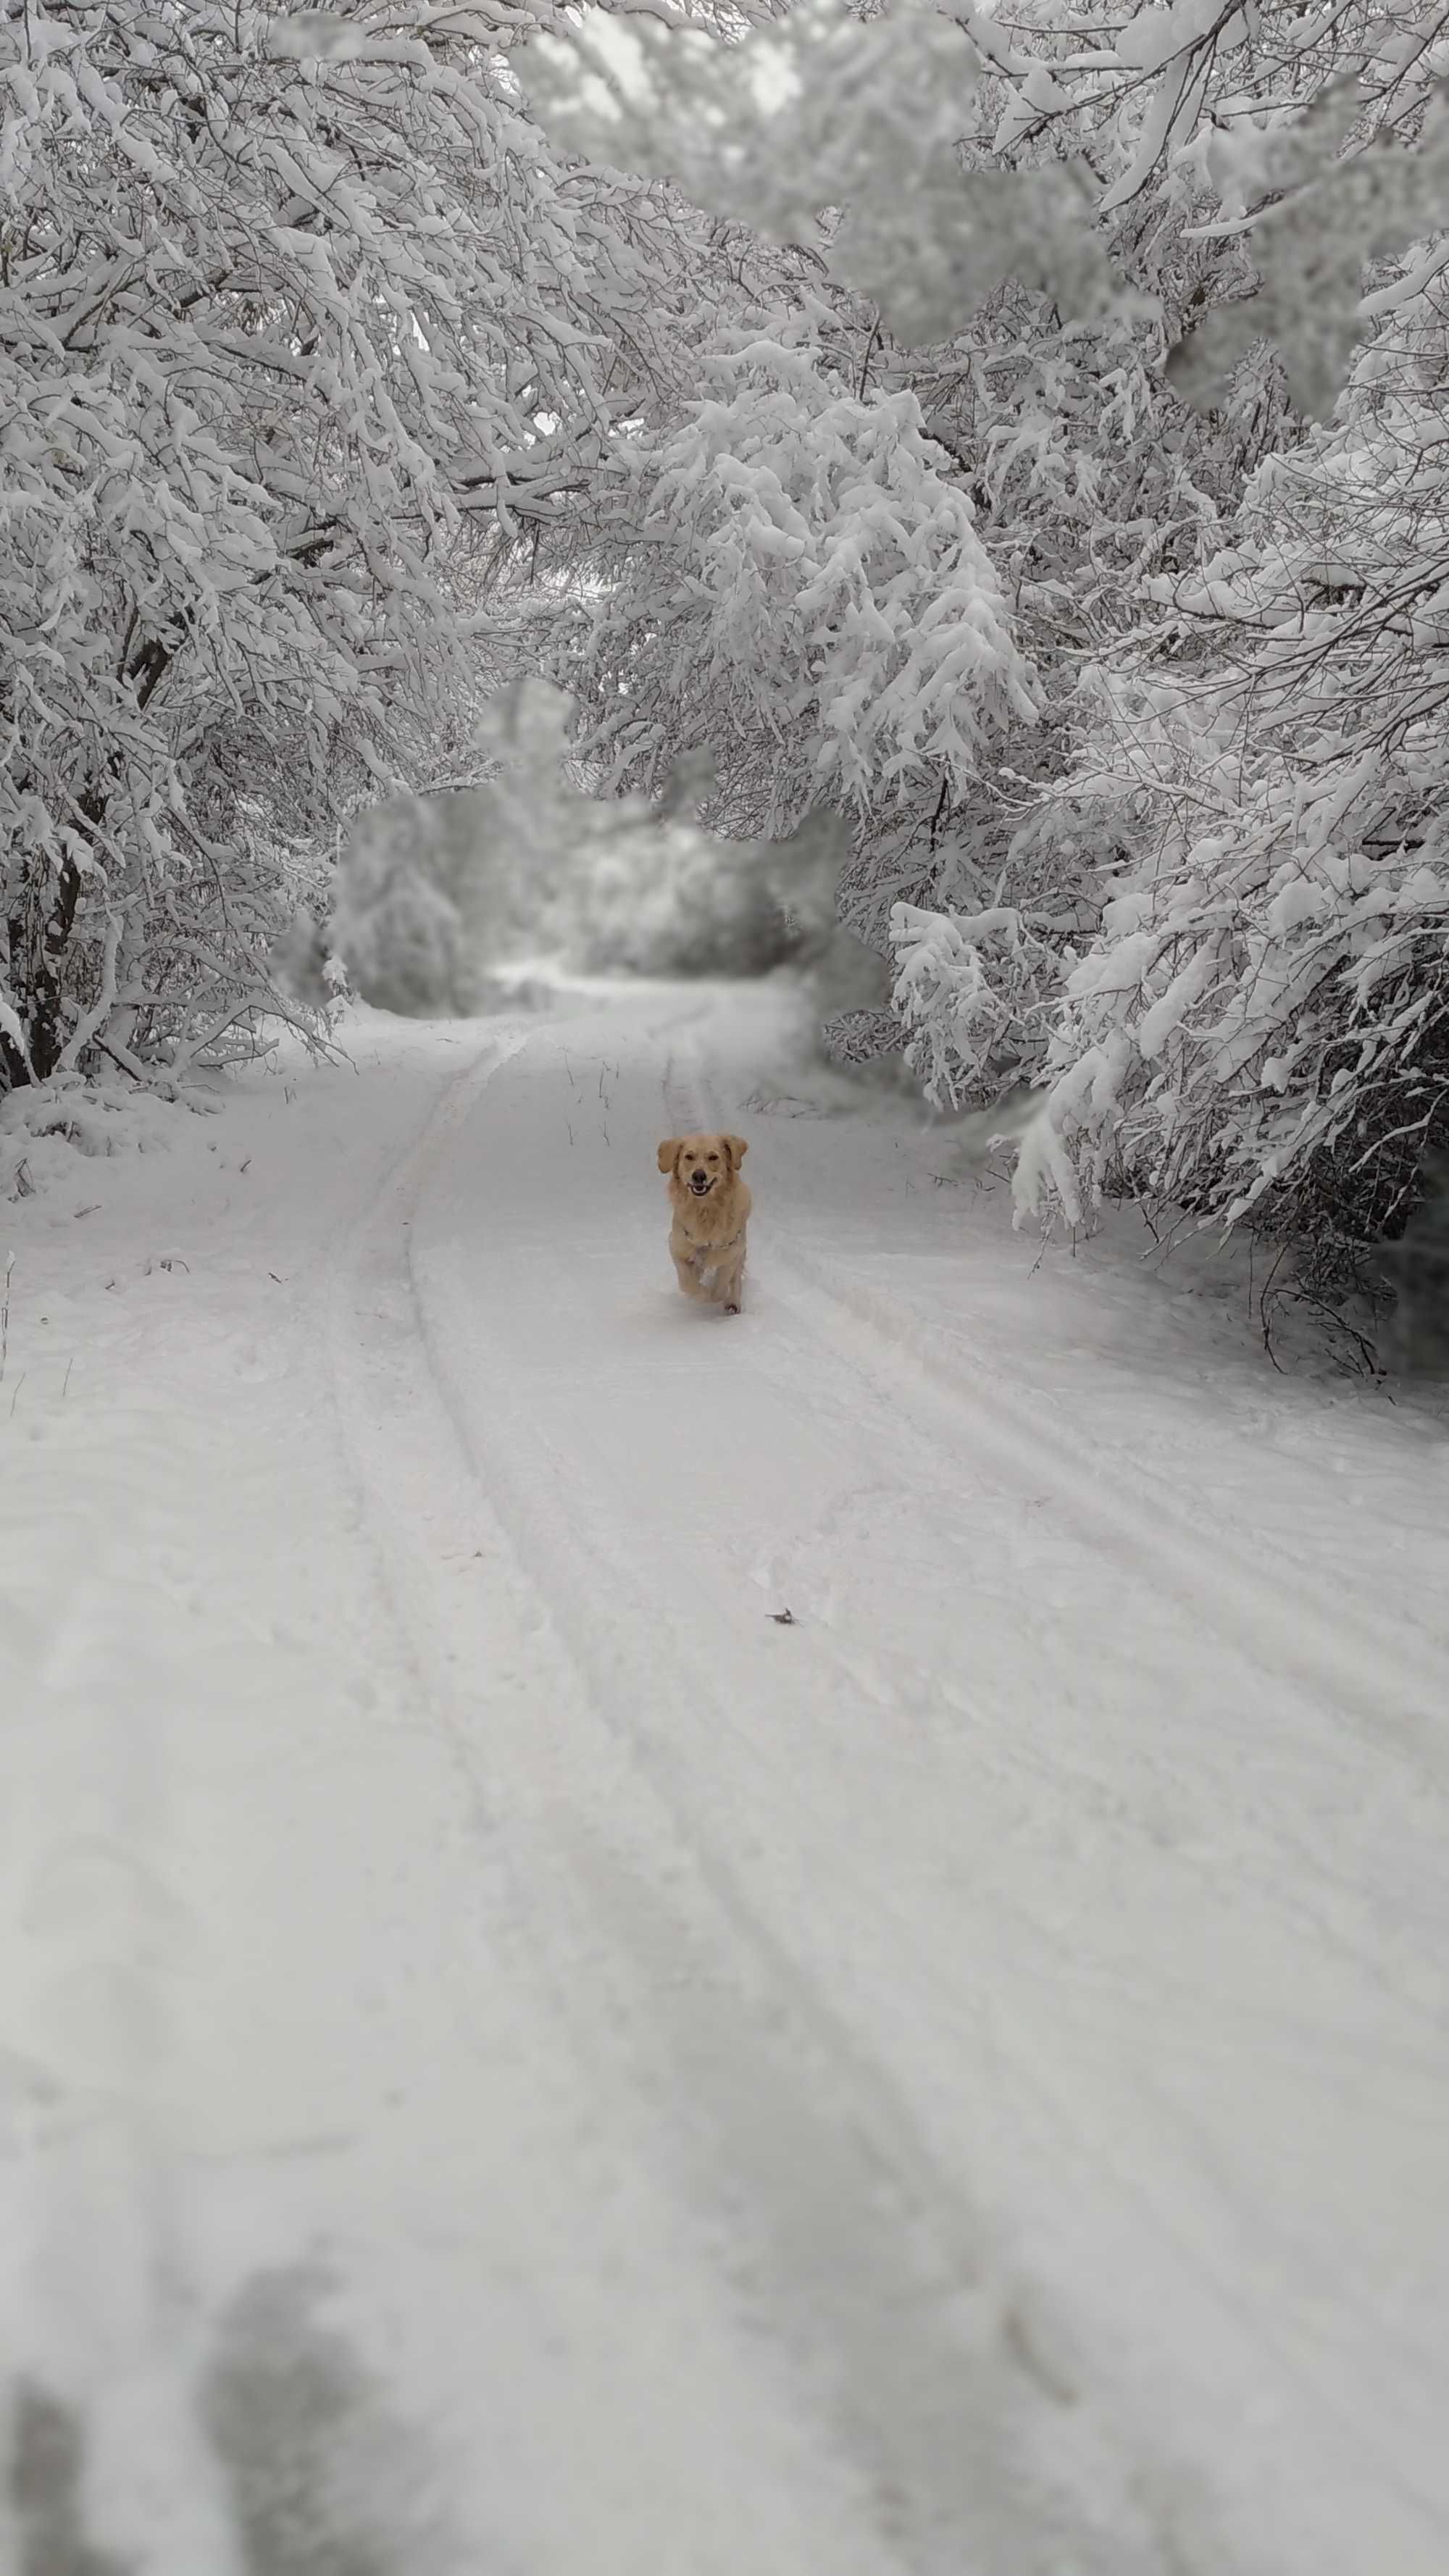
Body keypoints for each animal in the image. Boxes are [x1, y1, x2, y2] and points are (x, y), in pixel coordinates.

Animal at [654, 1133, 742, 1318]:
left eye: (713, 1157)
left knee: (735, 1278)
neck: (705, 1210)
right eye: (689, 1156)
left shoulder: (733, 1250)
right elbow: (687, 1281)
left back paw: (733, 1303)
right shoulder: (676, 1246)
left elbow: (721, 1285)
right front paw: (701, 1294)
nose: (699, 1176)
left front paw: (715, 1295)